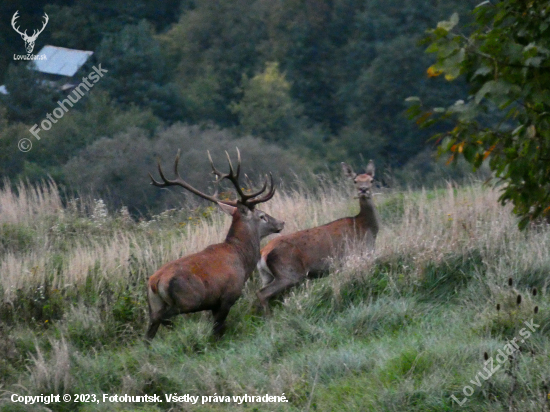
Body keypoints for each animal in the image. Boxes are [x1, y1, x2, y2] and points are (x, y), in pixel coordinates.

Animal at [144, 149, 286, 342]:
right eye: (262, 216)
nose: (281, 223)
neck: (242, 260)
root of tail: (155, 282)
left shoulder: (213, 303)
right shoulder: (227, 296)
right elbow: (218, 329)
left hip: (154, 303)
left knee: (148, 333)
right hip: (187, 300)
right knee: (163, 318)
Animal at [258, 161, 380, 312]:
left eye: (371, 180)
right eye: (355, 180)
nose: (363, 190)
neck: (365, 228)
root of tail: (263, 253)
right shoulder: (352, 256)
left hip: (266, 276)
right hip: (289, 273)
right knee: (262, 293)